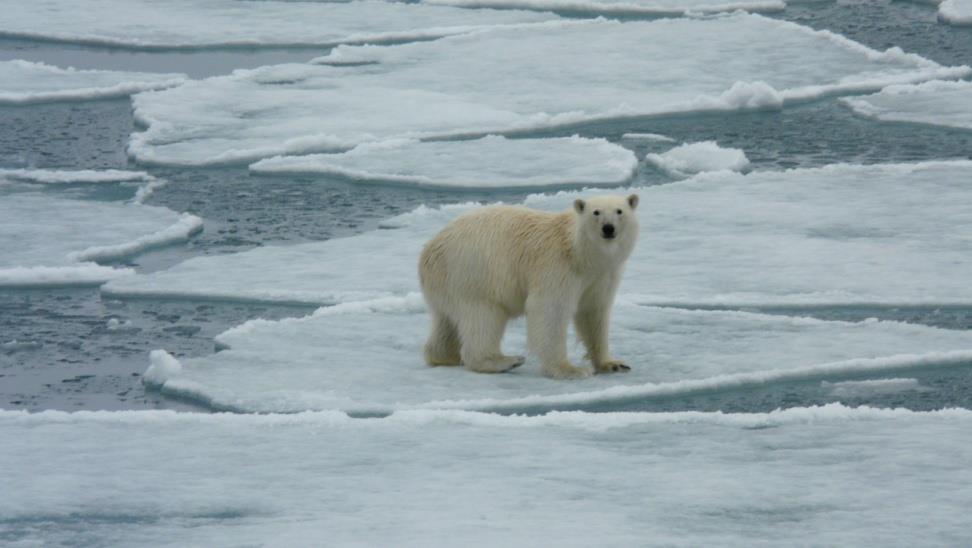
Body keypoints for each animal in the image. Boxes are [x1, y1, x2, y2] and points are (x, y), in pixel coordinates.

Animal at [418, 195, 636, 378]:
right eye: (596, 212)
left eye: (619, 211)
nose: (608, 228)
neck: (580, 253)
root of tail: (428, 252)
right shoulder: (557, 267)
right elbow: (549, 311)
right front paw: (569, 369)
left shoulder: (601, 276)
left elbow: (593, 312)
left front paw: (612, 364)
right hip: (473, 274)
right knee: (483, 317)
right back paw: (505, 360)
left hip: (446, 285)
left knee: (446, 321)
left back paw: (445, 356)